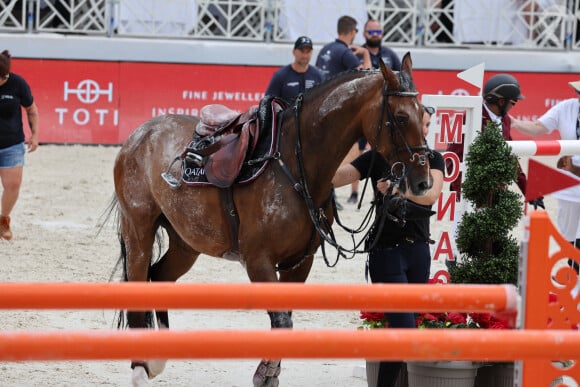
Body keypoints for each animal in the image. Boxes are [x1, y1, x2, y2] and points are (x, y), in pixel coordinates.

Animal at [113, 52, 430, 387]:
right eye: (401, 117)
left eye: (423, 112)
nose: (423, 180)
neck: (295, 164)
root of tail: (141, 133)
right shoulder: (259, 261)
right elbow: (281, 321)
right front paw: (265, 374)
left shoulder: (299, 262)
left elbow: (285, 318)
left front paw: (266, 372)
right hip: (139, 231)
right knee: (138, 282)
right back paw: (139, 369)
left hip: (186, 243)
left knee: (159, 277)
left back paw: (156, 359)